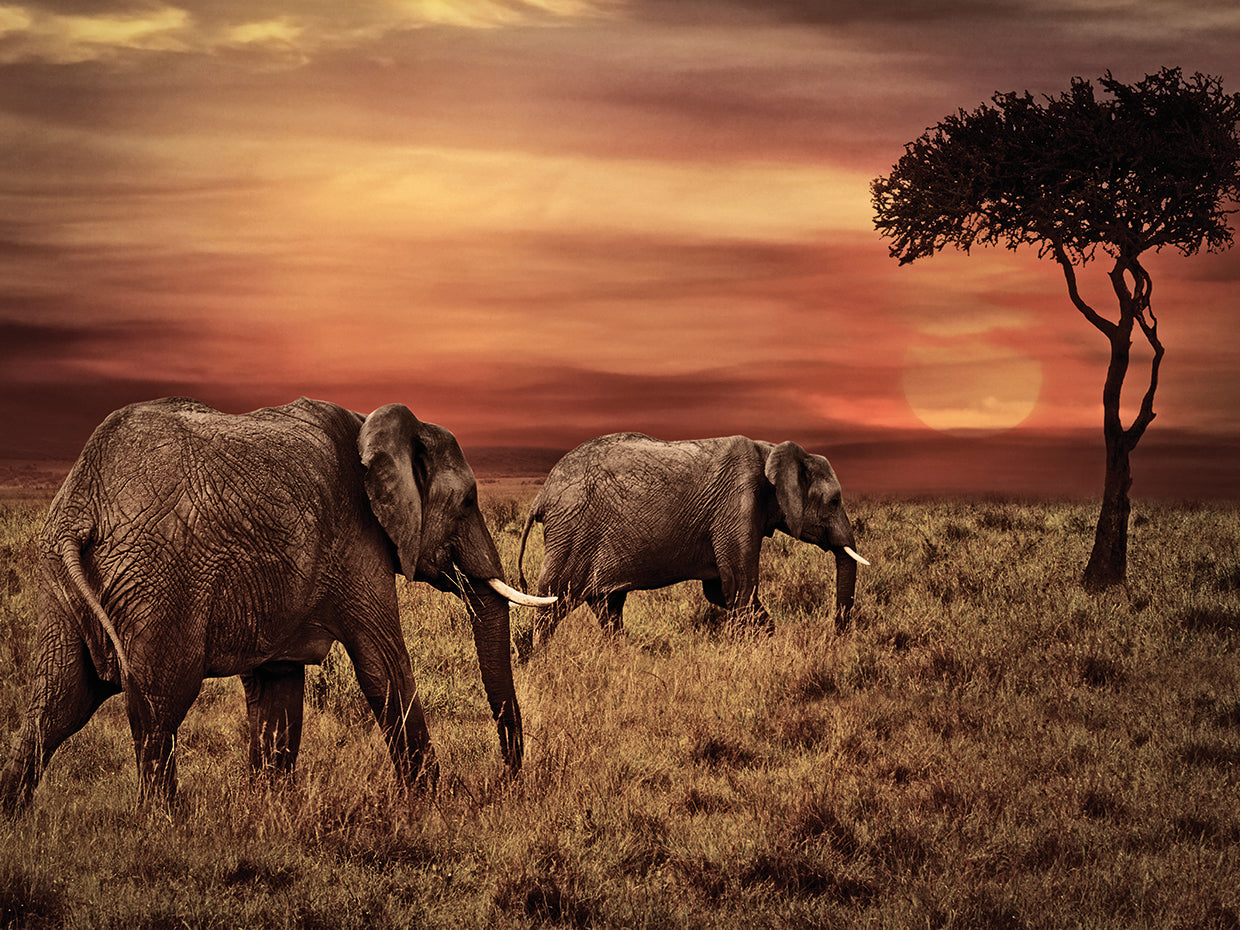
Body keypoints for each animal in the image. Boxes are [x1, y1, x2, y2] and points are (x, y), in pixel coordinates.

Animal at [0, 397, 553, 811]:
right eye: (468, 502)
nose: (505, 781)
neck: (371, 425)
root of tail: (83, 503)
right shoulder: (356, 544)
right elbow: (383, 667)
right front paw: (433, 806)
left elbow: (279, 689)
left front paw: (269, 807)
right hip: (157, 577)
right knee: (157, 704)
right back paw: (167, 823)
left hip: (62, 580)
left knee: (56, 704)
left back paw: (15, 818)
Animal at [515, 432, 868, 657]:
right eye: (834, 501)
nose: (836, 638)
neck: (770, 450)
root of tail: (541, 495)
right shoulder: (736, 505)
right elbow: (738, 585)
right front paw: (749, 652)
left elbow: (720, 590)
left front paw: (765, 641)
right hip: (571, 531)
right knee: (553, 600)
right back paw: (542, 661)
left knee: (607, 605)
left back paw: (619, 657)